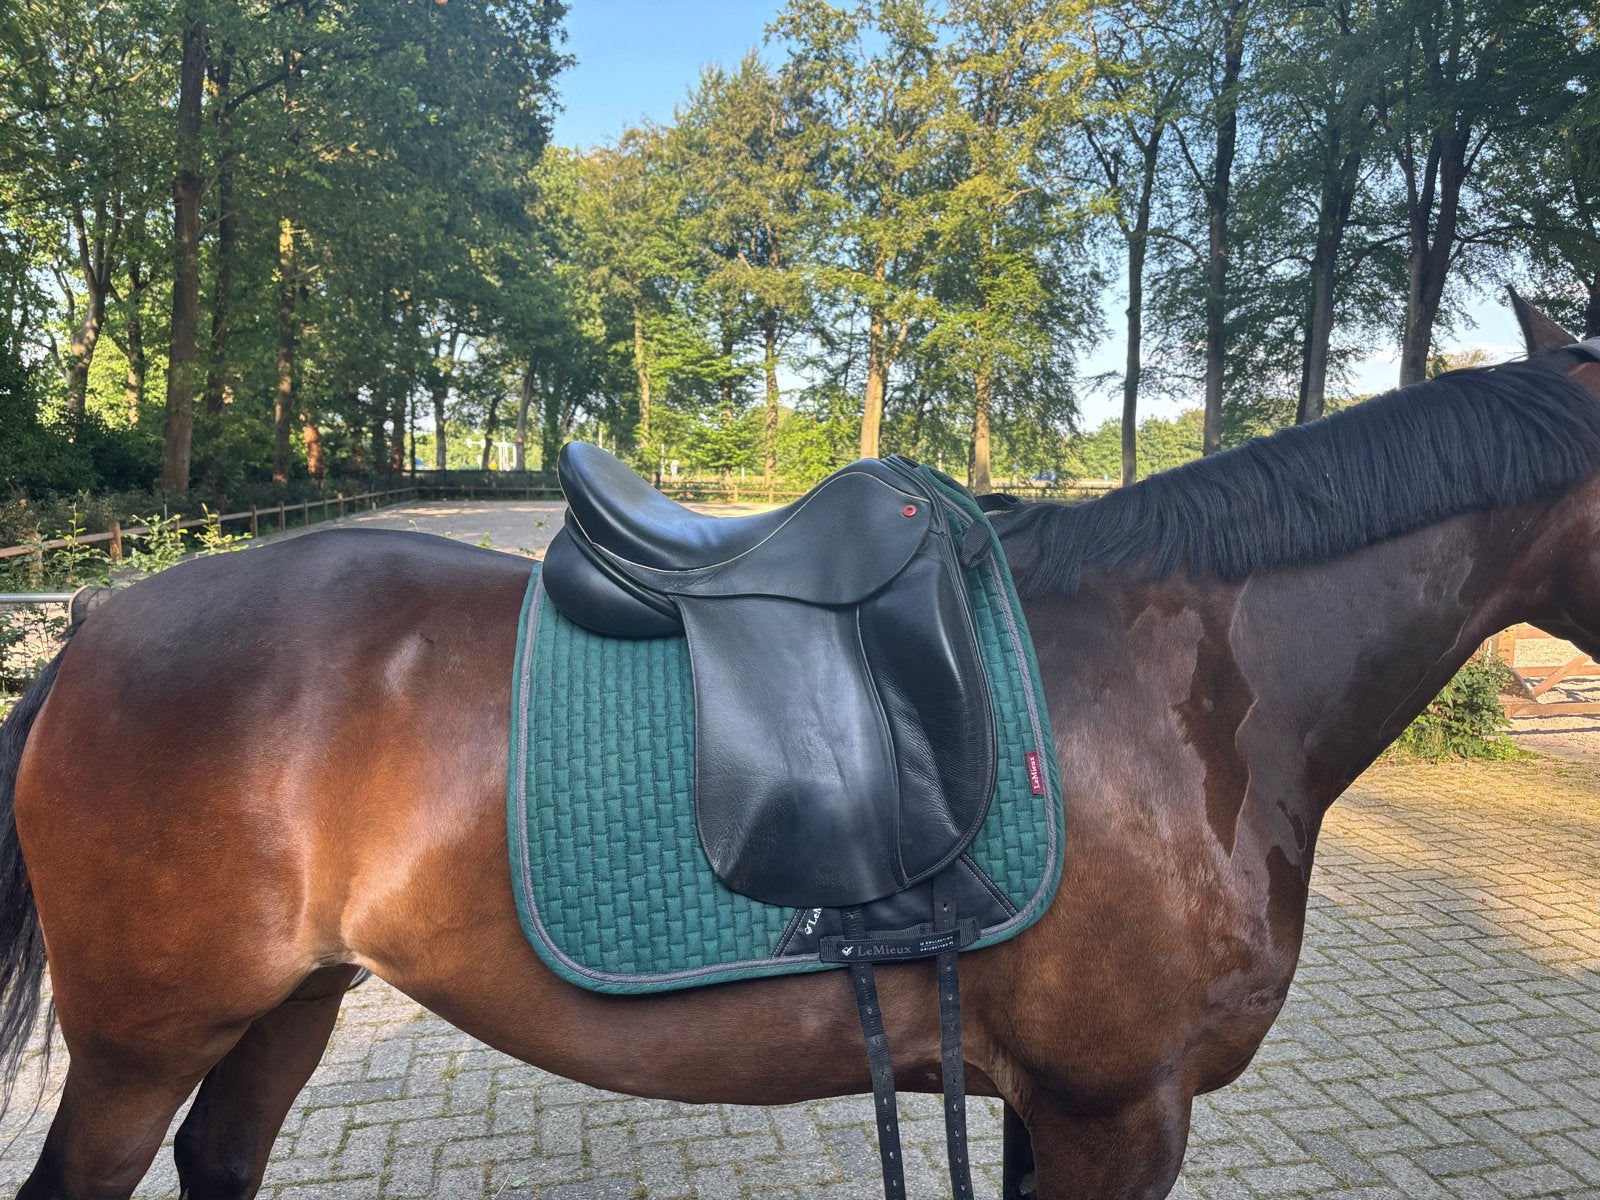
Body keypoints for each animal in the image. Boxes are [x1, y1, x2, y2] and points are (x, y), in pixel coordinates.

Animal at [2, 310, 1599, 1200]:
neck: (1194, 693)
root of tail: (97, 617)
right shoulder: (1115, 1115)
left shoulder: (1043, 1108)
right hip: (142, 1042)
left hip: (287, 1006)